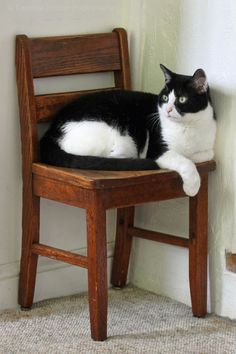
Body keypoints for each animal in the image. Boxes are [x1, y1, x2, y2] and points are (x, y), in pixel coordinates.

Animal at [40, 64, 216, 196]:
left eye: (182, 99)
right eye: (165, 98)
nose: (167, 110)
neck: (187, 127)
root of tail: (51, 130)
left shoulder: (207, 144)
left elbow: (205, 154)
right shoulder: (156, 150)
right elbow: (185, 162)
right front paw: (192, 187)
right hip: (117, 139)